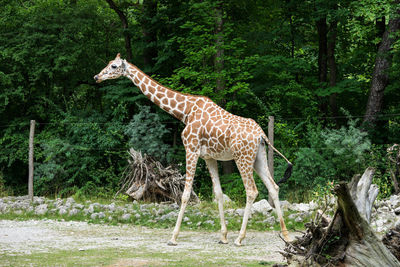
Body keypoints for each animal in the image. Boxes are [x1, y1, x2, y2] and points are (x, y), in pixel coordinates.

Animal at [95, 54, 292, 247]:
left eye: (113, 66)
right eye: (109, 63)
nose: (97, 77)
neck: (185, 111)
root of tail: (261, 135)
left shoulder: (191, 149)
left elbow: (185, 194)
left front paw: (173, 237)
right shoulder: (209, 157)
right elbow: (218, 194)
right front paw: (223, 236)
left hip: (242, 158)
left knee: (251, 190)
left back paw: (240, 238)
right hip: (258, 157)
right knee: (273, 186)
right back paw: (286, 235)